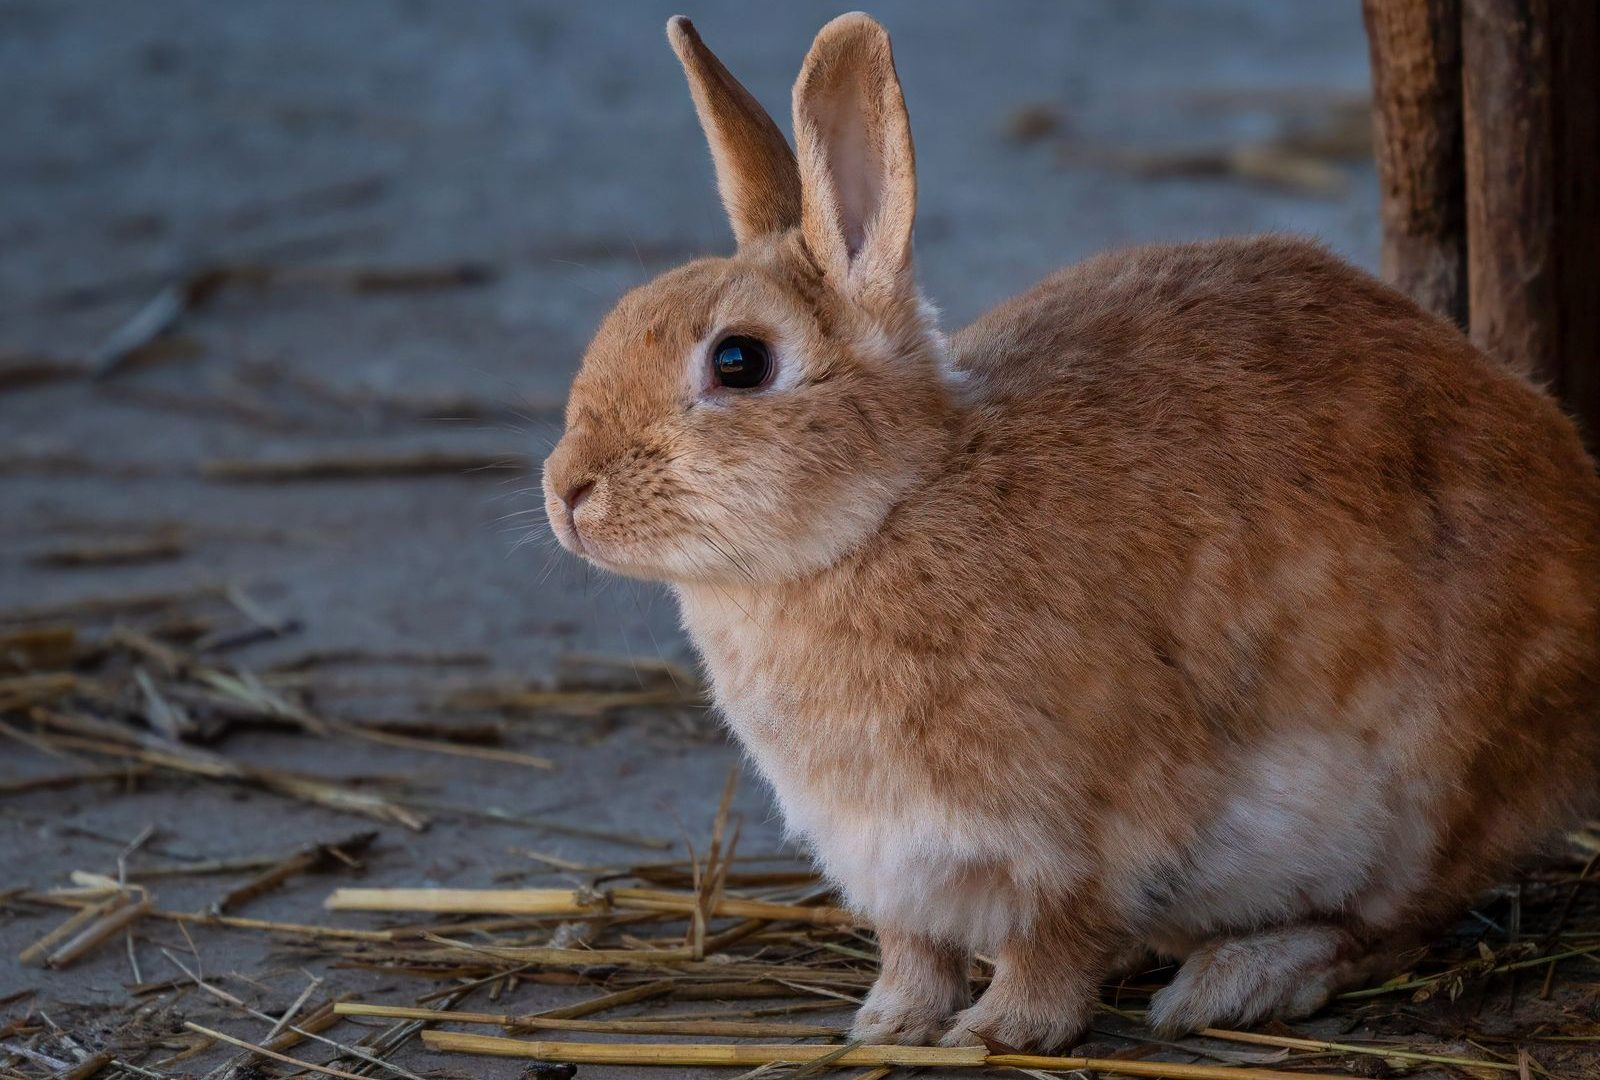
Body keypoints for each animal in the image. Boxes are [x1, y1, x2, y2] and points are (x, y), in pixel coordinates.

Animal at [540, 12, 1600, 1053]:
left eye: (739, 361)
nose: (566, 493)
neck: (889, 509)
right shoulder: (889, 862)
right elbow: (914, 949)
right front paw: (887, 1025)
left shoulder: (1077, 836)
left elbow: (1052, 940)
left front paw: (1000, 1030)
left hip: (1423, 796)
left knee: (1393, 925)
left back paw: (1236, 981)